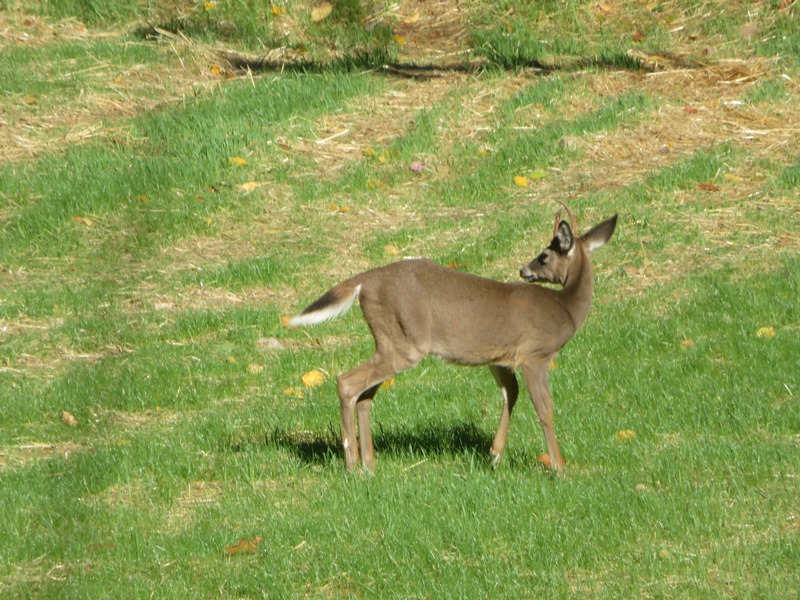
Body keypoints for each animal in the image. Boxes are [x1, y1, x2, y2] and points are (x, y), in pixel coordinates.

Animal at [284, 204, 616, 476]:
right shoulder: (535, 353)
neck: (565, 309)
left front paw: (495, 454)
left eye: (544, 256)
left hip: (390, 341)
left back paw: (369, 464)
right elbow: (544, 407)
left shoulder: (499, 359)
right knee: (347, 382)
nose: (524, 269)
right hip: (406, 343)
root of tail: (364, 282)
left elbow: (510, 394)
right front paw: (559, 467)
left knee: (365, 394)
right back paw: (352, 465)